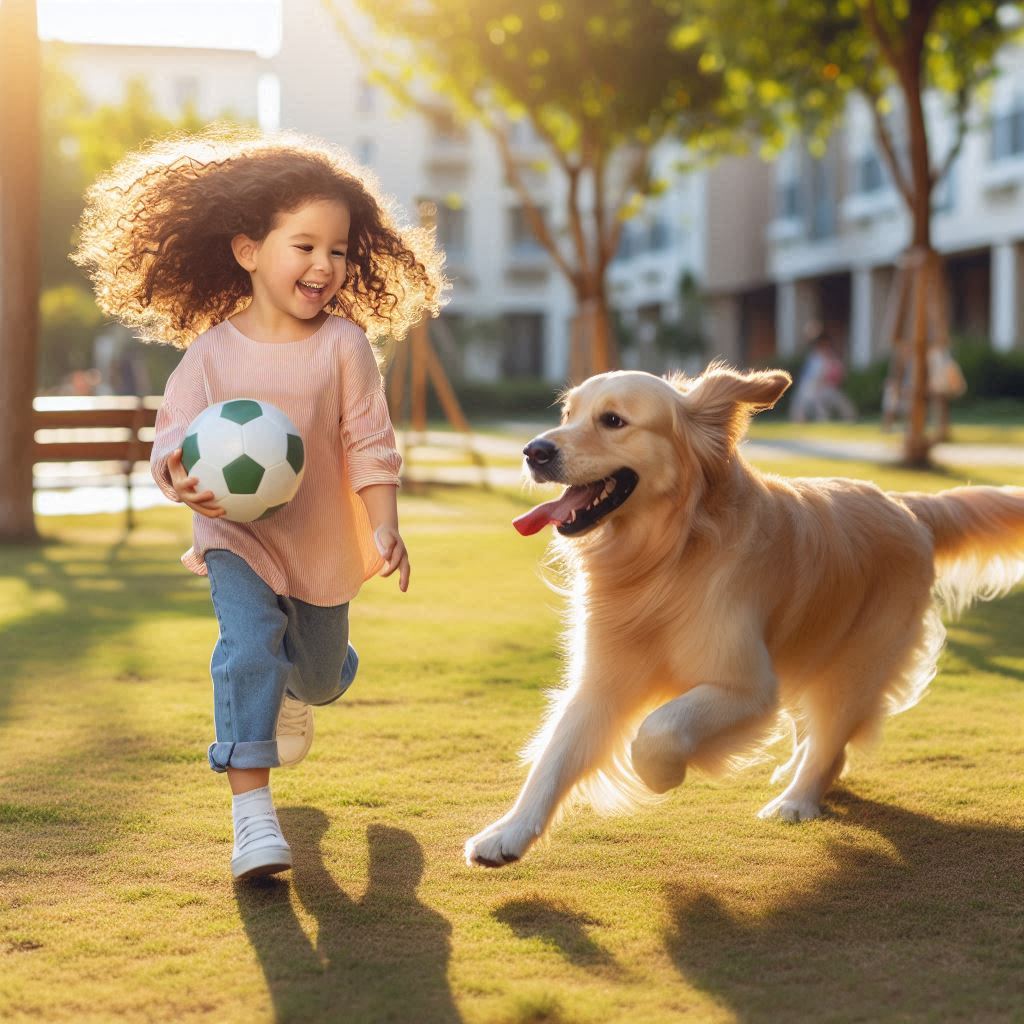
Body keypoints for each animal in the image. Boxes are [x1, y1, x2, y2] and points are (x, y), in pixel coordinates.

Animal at [466, 364, 1024, 868]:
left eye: (613, 421)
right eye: (568, 414)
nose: (534, 450)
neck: (668, 557)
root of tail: (905, 503)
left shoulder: (749, 688)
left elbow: (659, 727)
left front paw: (662, 775)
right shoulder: (603, 678)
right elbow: (555, 757)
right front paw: (507, 834)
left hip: (857, 661)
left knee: (832, 733)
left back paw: (796, 799)